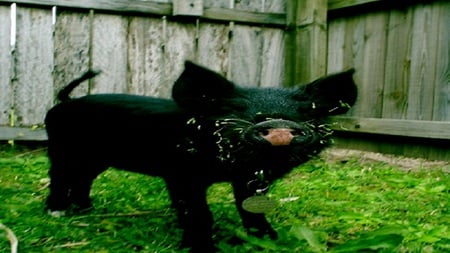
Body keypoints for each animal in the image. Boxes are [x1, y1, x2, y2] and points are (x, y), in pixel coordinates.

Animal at [44, 60, 356, 251]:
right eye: (236, 110)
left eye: (305, 110)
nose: (278, 126)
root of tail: (63, 103)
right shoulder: (180, 174)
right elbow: (198, 212)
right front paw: (201, 247)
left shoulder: (248, 181)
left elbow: (249, 208)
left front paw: (270, 238)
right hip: (60, 148)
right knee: (58, 177)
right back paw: (56, 212)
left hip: (96, 159)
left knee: (83, 179)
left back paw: (87, 210)